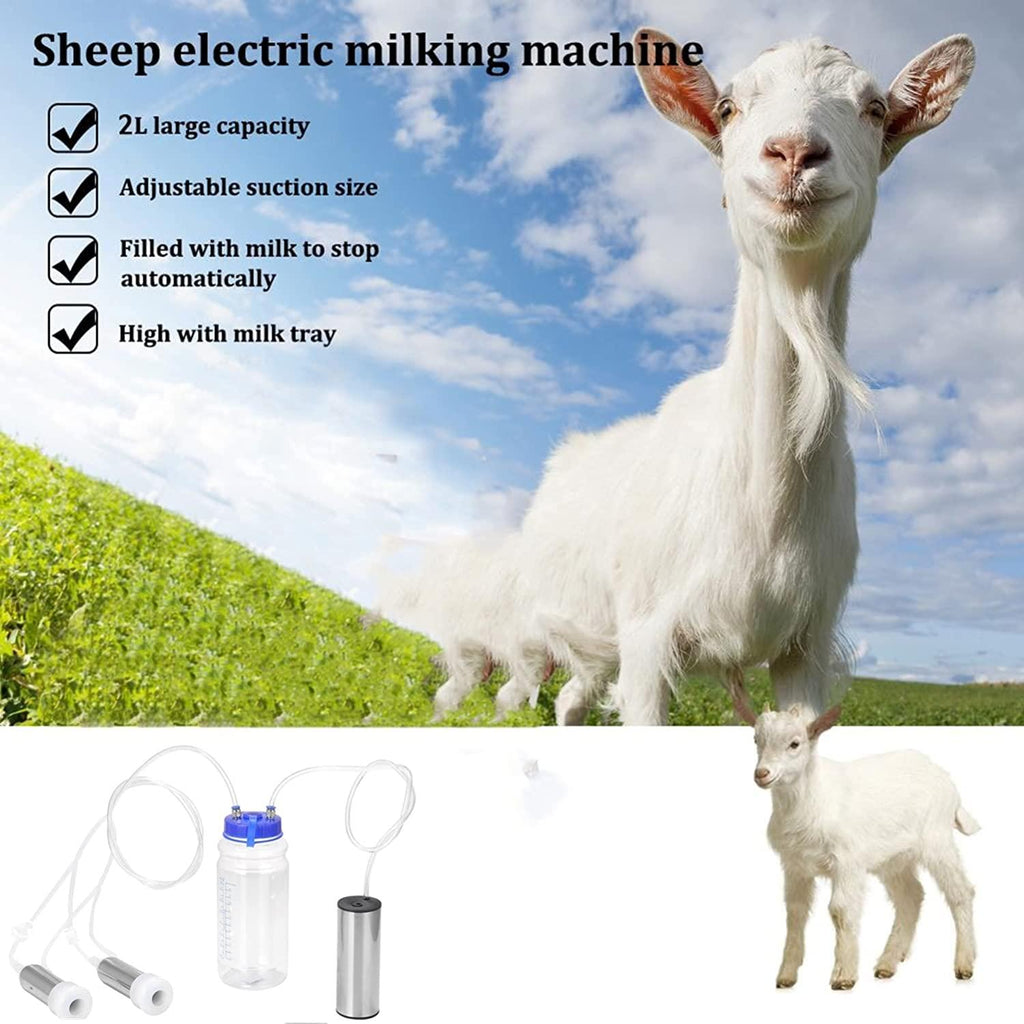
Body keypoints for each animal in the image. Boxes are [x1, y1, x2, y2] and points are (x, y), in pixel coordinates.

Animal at [512, 31, 975, 724]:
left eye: (873, 109)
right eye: (728, 108)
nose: (794, 153)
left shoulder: (806, 648)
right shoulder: (646, 641)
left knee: (572, 697)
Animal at [731, 685, 979, 989]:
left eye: (795, 744)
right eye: (756, 739)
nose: (762, 774)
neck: (813, 799)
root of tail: (948, 783)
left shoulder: (847, 861)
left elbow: (840, 910)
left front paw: (843, 976)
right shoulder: (795, 865)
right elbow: (795, 912)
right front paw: (786, 975)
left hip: (937, 838)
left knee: (961, 892)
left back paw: (964, 964)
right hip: (894, 858)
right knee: (911, 896)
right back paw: (887, 963)